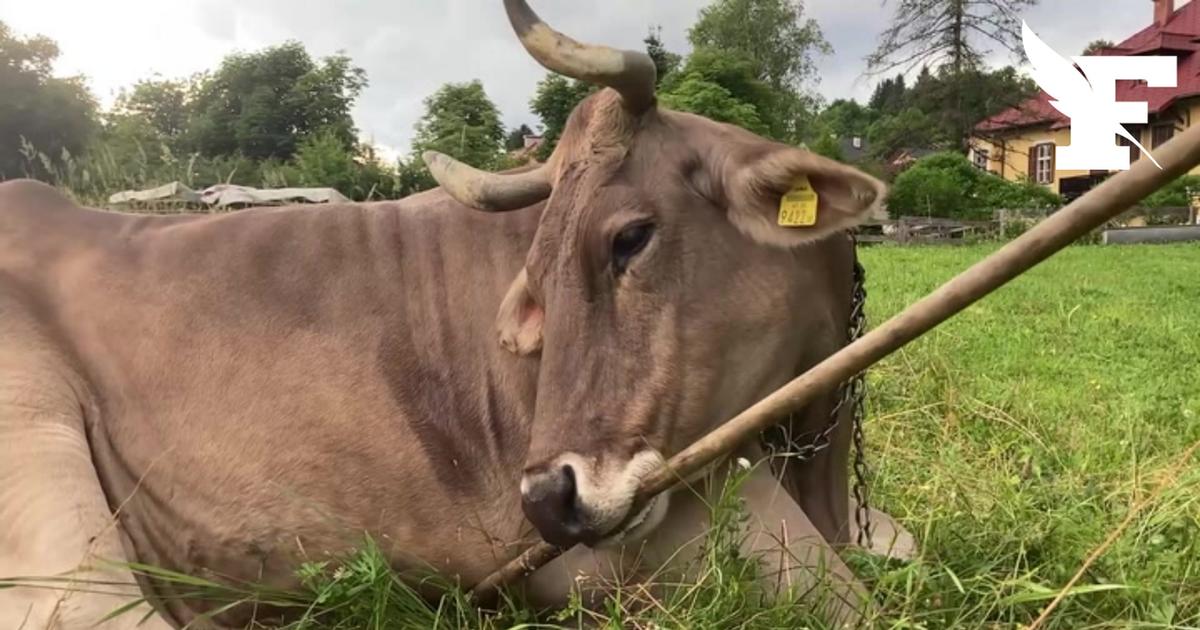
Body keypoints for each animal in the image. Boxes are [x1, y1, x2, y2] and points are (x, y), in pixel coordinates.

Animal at [0, 2, 913, 628]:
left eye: (630, 237)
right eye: (536, 274)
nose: (546, 500)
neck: (810, 453)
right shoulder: (642, 543)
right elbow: (857, 605)